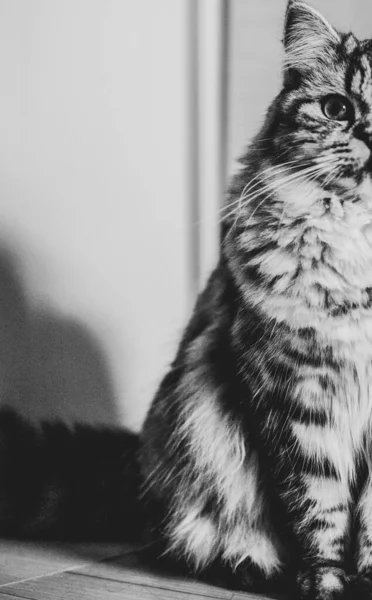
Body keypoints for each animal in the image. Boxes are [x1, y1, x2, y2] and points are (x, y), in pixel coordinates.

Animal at [2, 0, 372, 596]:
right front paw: (325, 585)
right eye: (338, 107)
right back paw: (251, 565)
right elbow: (320, 511)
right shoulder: (298, 395)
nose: (368, 136)